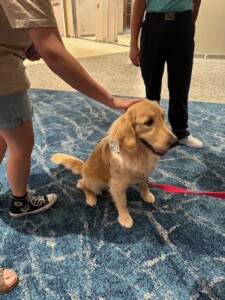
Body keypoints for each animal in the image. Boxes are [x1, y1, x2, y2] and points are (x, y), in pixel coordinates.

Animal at [51, 99, 178, 229]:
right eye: (149, 122)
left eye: (163, 117)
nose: (175, 142)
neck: (138, 154)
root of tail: (84, 165)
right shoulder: (117, 185)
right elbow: (122, 202)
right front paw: (125, 217)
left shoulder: (144, 174)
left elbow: (144, 185)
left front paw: (146, 195)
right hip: (95, 183)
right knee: (81, 184)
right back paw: (91, 198)